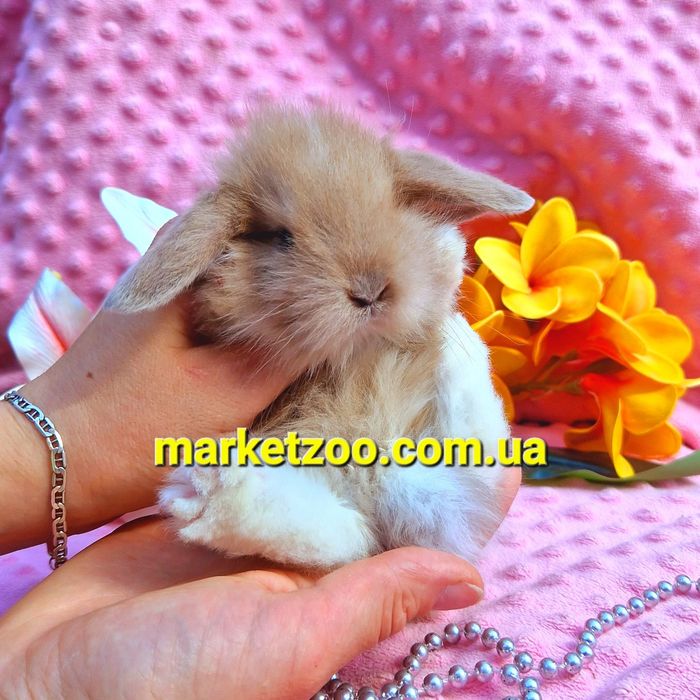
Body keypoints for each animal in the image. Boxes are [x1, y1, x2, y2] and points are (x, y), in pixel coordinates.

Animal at [106, 106, 533, 570]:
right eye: (281, 237)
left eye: (392, 207)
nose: (370, 291)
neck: (355, 357)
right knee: (340, 531)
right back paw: (205, 490)